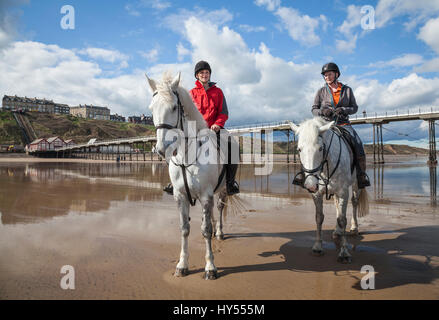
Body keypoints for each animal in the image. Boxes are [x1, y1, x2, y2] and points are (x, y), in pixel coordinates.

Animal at [145, 71, 234, 278]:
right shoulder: (180, 196)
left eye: (174, 107)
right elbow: (185, 229)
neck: (187, 156)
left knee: (219, 208)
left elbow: (205, 230)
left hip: (223, 190)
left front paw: (210, 267)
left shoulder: (205, 195)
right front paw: (182, 265)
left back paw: (219, 232)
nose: (161, 149)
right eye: (151, 109)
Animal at [292, 117, 368, 262]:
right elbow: (319, 218)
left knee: (354, 203)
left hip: (356, 186)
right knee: (337, 205)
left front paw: (344, 252)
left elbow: (342, 220)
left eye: (321, 148)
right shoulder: (317, 194)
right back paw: (337, 231)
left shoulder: (343, 192)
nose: (310, 184)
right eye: (299, 149)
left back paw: (354, 228)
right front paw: (317, 247)